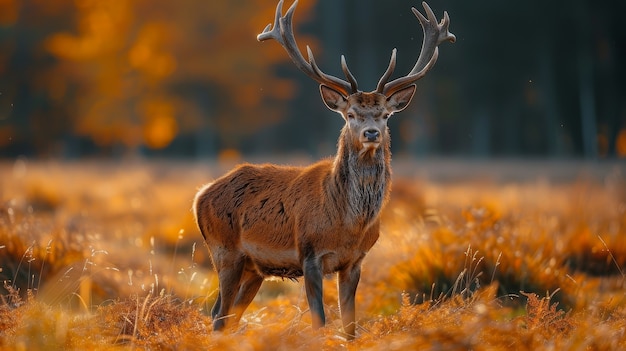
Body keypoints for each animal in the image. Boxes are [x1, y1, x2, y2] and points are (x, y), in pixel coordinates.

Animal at [193, 0, 450, 340]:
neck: (348, 224)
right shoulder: (309, 254)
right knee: (220, 316)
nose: (371, 133)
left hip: (254, 268)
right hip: (224, 251)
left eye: (385, 114)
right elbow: (320, 320)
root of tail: (200, 195)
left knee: (226, 315)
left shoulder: (355, 261)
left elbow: (350, 324)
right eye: (351, 114)